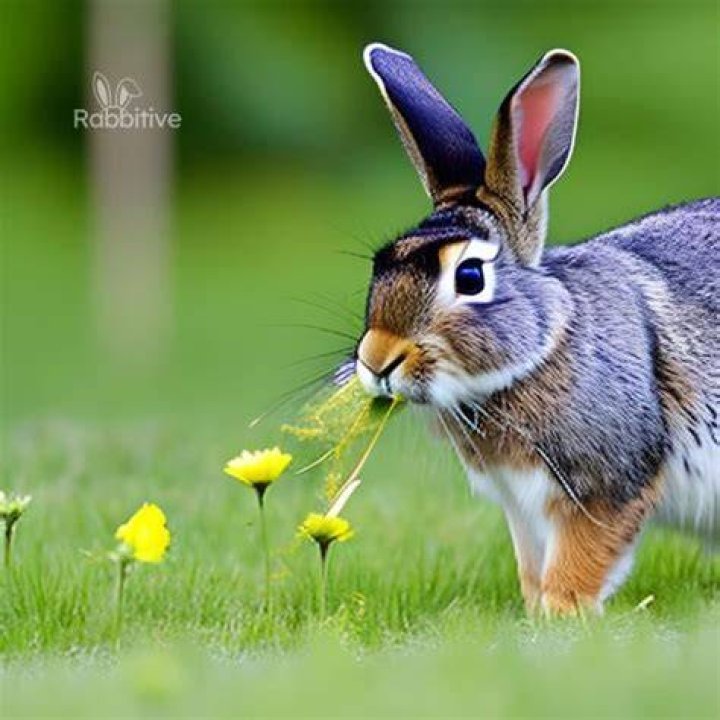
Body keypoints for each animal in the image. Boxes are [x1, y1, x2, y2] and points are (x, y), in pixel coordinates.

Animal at [353, 43, 719, 614]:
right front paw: (532, 614)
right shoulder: (521, 505)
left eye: (470, 277)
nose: (377, 361)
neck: (545, 345)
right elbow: (533, 564)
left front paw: (561, 614)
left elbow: (579, 561)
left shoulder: (604, 486)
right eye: (379, 266)